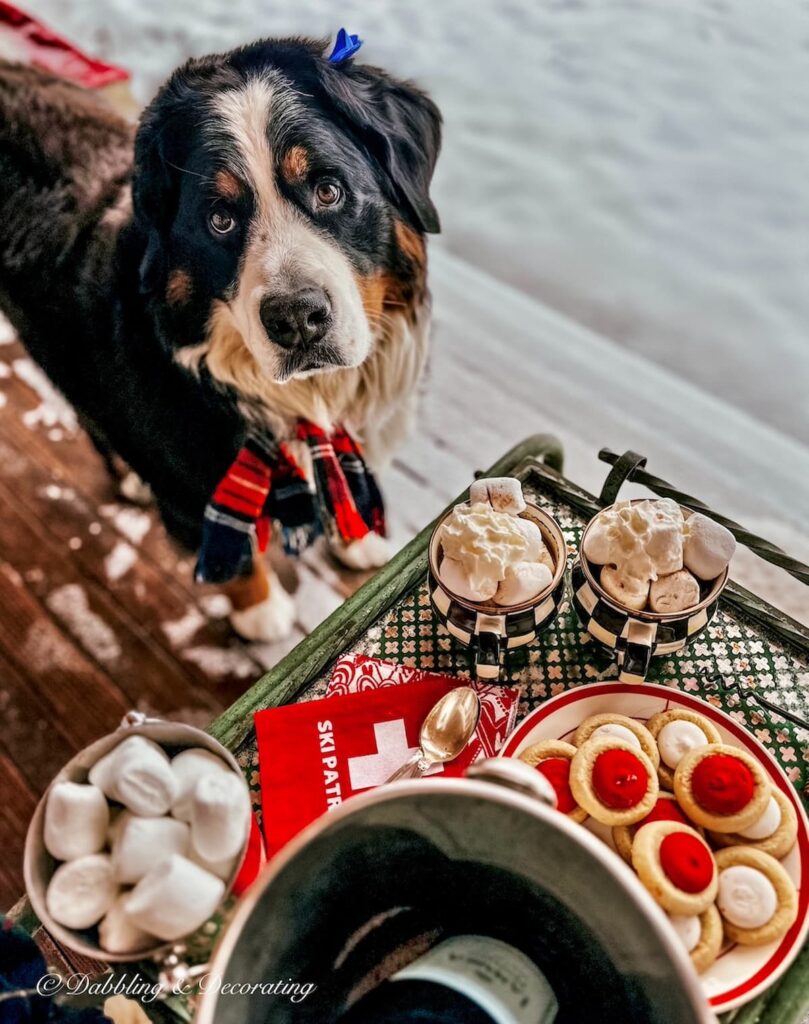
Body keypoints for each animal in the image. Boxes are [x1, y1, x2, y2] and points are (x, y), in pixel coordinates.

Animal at [0, 41, 444, 647]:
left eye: (328, 190)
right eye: (220, 220)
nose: (296, 318)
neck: (303, 400)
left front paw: (357, 533)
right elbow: (233, 556)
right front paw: (260, 611)